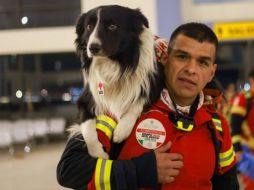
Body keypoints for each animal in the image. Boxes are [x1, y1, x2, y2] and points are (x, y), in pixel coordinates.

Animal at [72, 4, 163, 159]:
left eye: (112, 26)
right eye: (89, 26)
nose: (92, 47)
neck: (113, 64)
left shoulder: (154, 84)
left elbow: (138, 102)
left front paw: (122, 130)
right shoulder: (85, 100)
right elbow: (87, 127)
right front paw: (99, 153)